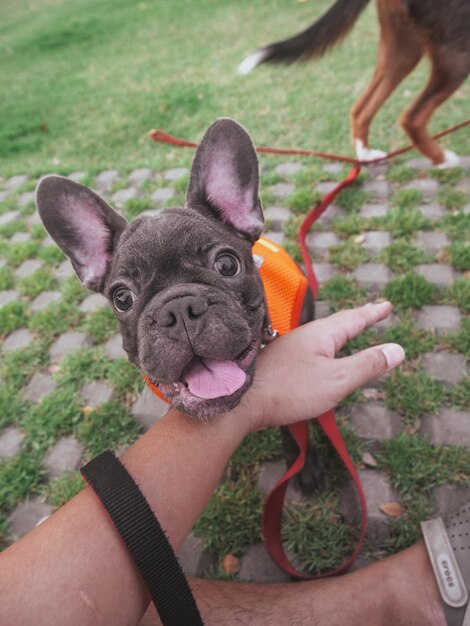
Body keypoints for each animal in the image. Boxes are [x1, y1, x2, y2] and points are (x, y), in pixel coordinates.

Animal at [241, 0, 468, 167]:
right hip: (456, 55)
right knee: (412, 118)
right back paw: (445, 160)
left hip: (404, 49)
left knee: (362, 109)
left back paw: (366, 155)